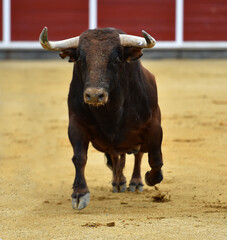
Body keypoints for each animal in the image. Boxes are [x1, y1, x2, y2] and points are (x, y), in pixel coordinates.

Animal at [39, 26, 163, 210]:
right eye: (81, 60)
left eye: (116, 60)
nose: (94, 95)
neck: (111, 112)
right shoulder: (76, 125)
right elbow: (79, 157)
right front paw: (80, 193)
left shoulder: (153, 126)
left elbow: (155, 160)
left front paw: (149, 177)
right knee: (117, 157)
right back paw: (118, 182)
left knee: (138, 155)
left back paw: (135, 182)